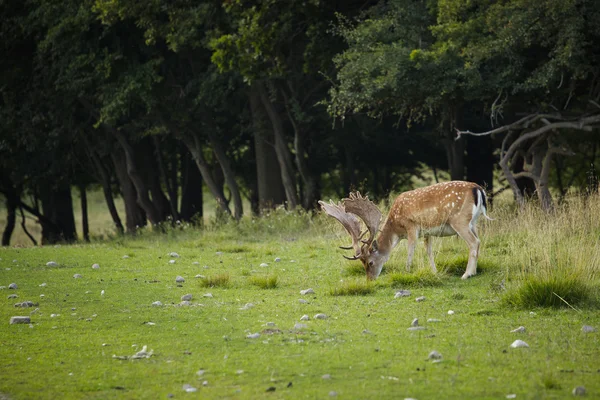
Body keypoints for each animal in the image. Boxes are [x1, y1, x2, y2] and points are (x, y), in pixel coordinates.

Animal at [322, 180, 490, 280]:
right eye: (362, 264)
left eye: (370, 262)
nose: (370, 280)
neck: (397, 229)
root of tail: (478, 189)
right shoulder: (427, 232)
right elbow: (428, 251)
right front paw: (435, 272)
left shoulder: (411, 226)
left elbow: (411, 249)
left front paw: (407, 270)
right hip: (473, 222)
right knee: (478, 241)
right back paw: (474, 271)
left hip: (459, 220)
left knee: (474, 242)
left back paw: (467, 274)